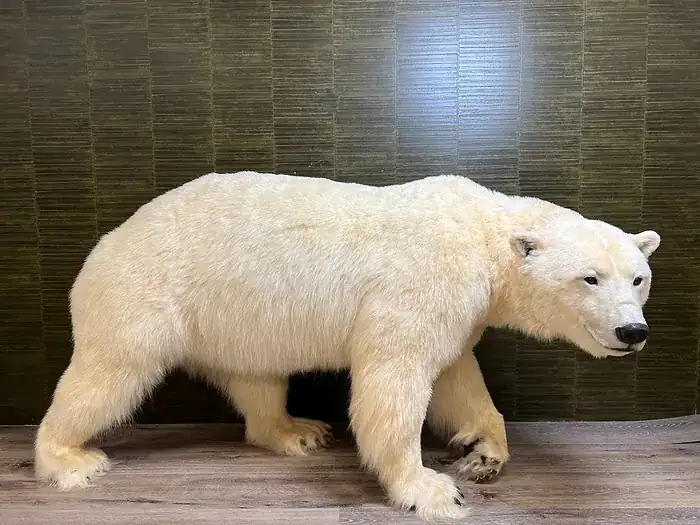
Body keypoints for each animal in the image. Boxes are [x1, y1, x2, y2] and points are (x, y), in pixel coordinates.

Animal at [34, 171, 660, 520]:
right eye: (589, 278)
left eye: (638, 277)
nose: (633, 333)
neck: (482, 234)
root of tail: (103, 248)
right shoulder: (423, 281)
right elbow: (394, 379)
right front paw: (430, 490)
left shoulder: (460, 310)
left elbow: (458, 376)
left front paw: (483, 452)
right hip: (146, 295)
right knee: (109, 374)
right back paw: (68, 458)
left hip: (240, 320)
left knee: (259, 380)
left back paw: (295, 431)